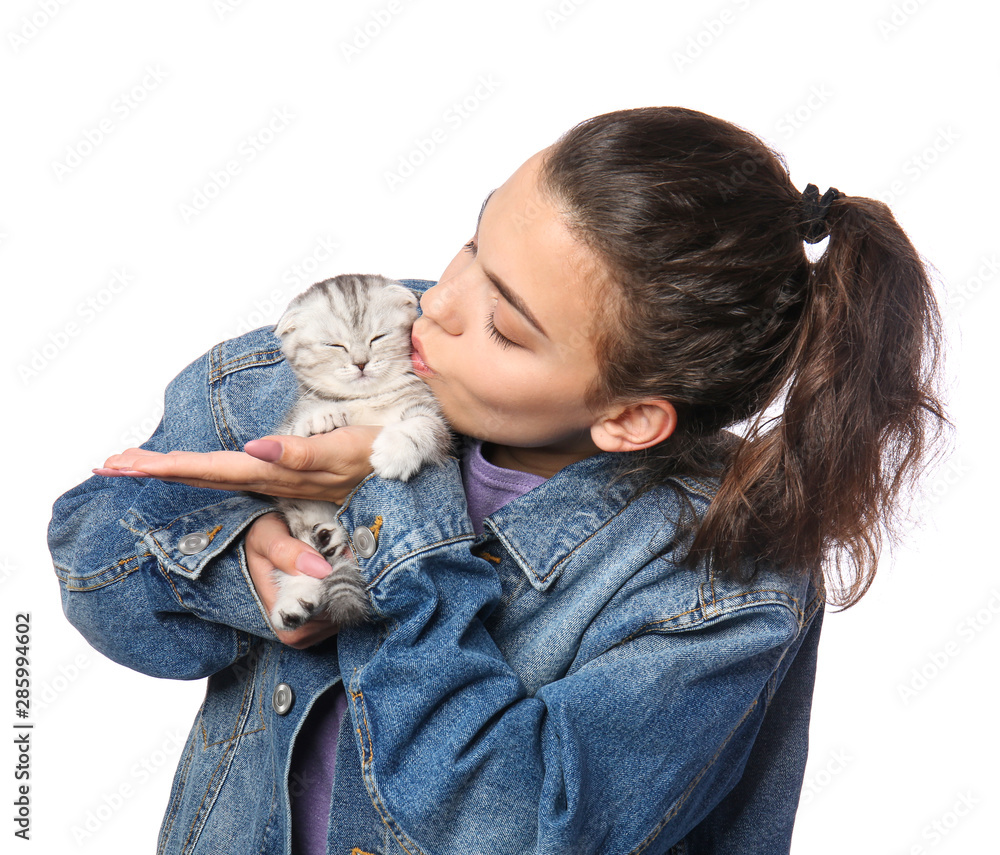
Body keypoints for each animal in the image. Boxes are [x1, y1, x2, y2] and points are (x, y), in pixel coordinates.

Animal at [270, 278, 450, 632]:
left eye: (377, 337)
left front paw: (395, 450)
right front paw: (320, 419)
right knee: (305, 545)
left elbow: (420, 425)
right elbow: (297, 425)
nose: (361, 363)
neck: (368, 399)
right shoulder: (288, 425)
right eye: (335, 345)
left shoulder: (436, 421)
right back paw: (298, 591)